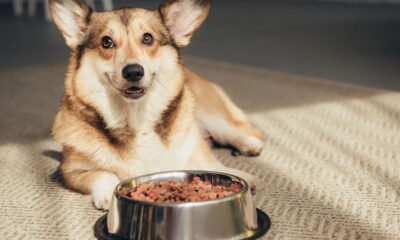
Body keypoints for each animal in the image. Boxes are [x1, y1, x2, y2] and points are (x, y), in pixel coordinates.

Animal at [49, 0, 262, 210]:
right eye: (106, 42)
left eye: (147, 38)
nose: (133, 72)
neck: (135, 117)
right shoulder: (70, 170)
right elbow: (102, 173)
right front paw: (109, 193)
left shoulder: (194, 146)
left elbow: (211, 164)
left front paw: (237, 175)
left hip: (210, 114)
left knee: (232, 131)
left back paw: (250, 145)